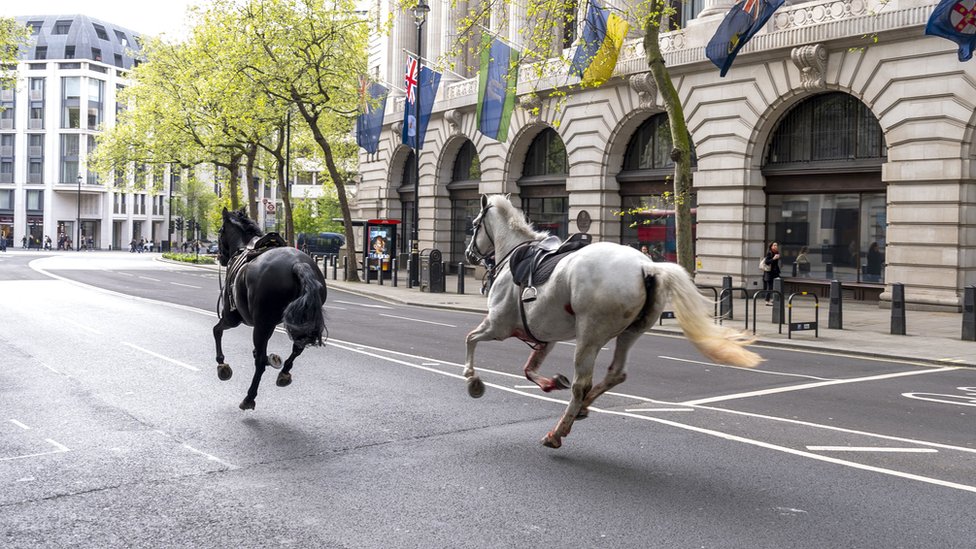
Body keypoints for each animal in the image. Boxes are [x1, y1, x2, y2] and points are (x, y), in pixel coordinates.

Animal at [214, 207, 328, 410]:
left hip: (259, 324)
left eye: (220, 231)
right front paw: (272, 359)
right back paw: (284, 373)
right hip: (298, 320)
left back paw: (249, 397)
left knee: (259, 362)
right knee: (297, 347)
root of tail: (298, 264)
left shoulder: (232, 318)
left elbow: (217, 331)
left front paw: (222, 365)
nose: (220, 257)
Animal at [463, 195, 762, 448]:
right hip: (630, 331)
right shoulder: (544, 336)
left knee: (581, 384)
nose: (468, 255)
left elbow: (470, 339)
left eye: (475, 225)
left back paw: (558, 431)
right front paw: (550, 382)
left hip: (589, 335)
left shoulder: (498, 325)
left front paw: (472, 379)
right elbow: (528, 369)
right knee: (615, 373)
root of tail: (647, 266)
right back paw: (582, 408)